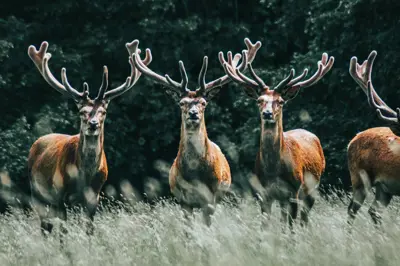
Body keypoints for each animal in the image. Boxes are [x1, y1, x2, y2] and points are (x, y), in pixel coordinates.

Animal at [27, 40, 152, 235]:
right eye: (81, 111)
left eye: (103, 111)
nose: (93, 124)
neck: (84, 177)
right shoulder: (60, 195)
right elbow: (63, 231)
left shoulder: (94, 197)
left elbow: (89, 229)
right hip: (38, 193)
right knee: (45, 226)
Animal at [133, 38, 260, 225]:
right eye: (182, 103)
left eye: (203, 103)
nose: (193, 114)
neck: (194, 174)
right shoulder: (183, 200)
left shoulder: (210, 199)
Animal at [222, 53, 334, 228]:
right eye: (259, 100)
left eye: (280, 101)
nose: (267, 113)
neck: (273, 170)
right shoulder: (264, 193)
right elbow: (265, 225)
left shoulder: (294, 191)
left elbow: (291, 227)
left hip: (313, 187)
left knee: (304, 219)